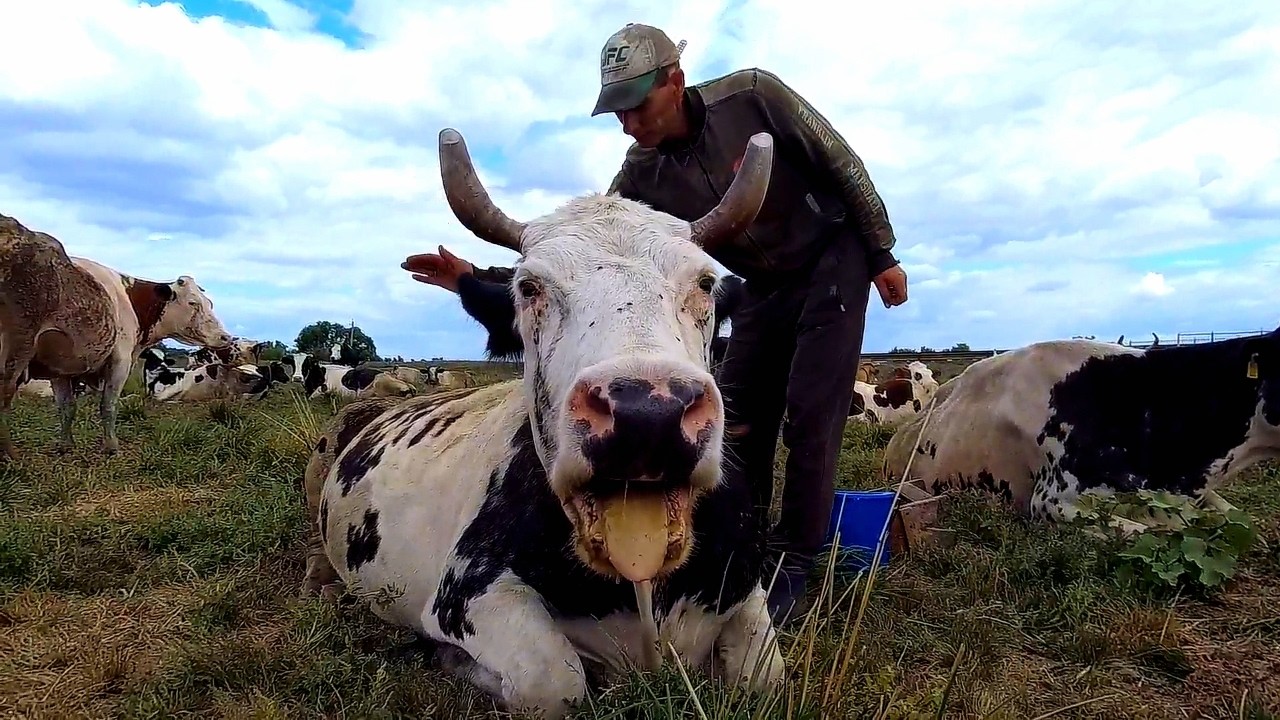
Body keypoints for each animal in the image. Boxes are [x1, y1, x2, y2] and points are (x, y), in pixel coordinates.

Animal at [1, 214, 232, 460]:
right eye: (193, 303)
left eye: (209, 303)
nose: (225, 337)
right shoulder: (120, 360)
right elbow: (108, 405)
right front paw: (111, 447)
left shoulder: (60, 368)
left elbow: (66, 407)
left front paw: (66, 446)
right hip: (18, 346)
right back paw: (10, 455)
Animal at [299, 129, 786, 718]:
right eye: (529, 287)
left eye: (706, 283)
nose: (648, 412)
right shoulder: (468, 592)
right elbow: (554, 680)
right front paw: (455, 664)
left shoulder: (745, 588)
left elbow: (765, 676)